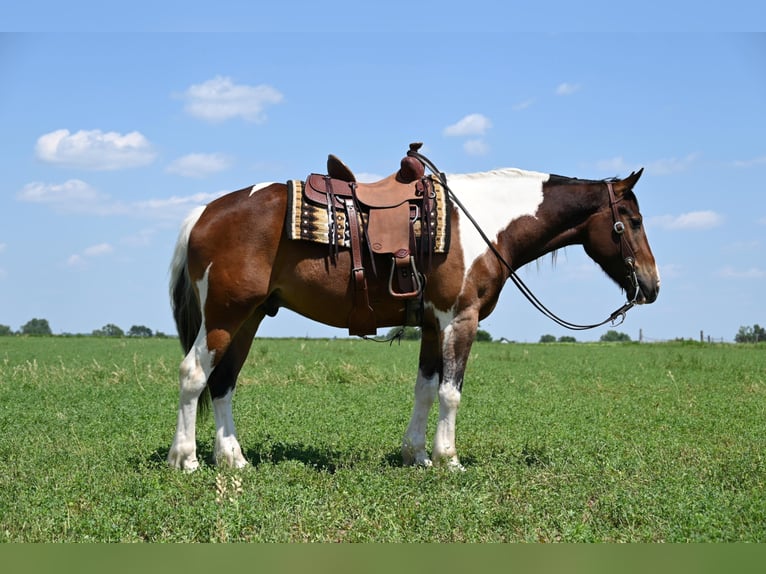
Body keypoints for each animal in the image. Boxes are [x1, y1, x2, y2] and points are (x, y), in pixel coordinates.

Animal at [166, 152, 660, 472]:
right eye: (633, 222)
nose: (652, 286)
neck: (484, 224)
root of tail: (204, 213)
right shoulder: (460, 319)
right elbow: (450, 392)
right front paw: (449, 460)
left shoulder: (432, 325)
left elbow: (424, 389)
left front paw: (417, 455)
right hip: (224, 315)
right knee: (194, 374)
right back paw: (185, 460)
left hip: (247, 319)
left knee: (223, 382)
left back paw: (233, 460)